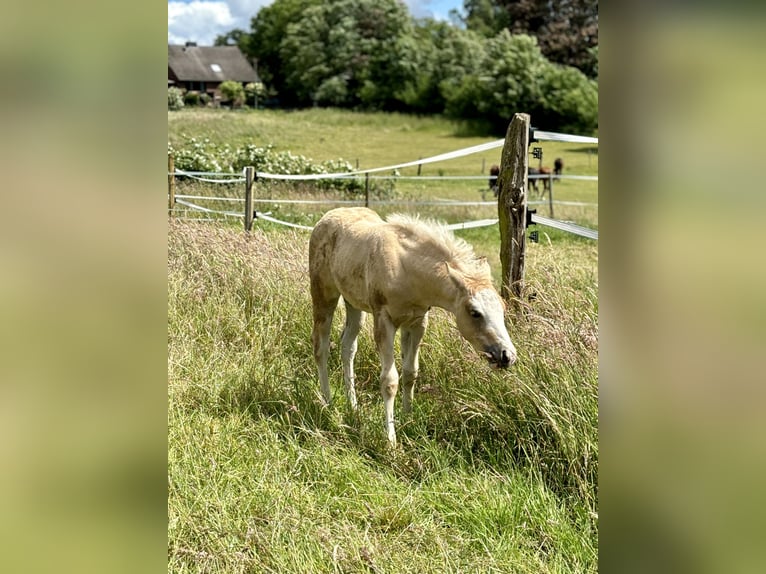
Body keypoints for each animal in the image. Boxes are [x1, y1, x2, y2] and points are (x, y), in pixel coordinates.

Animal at [308, 207, 520, 446]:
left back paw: (352, 406)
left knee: (348, 347)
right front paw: (391, 440)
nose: (507, 356)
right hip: (324, 294)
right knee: (321, 346)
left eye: (503, 308)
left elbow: (411, 372)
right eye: (475, 312)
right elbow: (390, 380)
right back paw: (327, 401)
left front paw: (408, 419)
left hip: (353, 303)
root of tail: (326, 217)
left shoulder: (417, 322)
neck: (406, 269)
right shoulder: (384, 321)